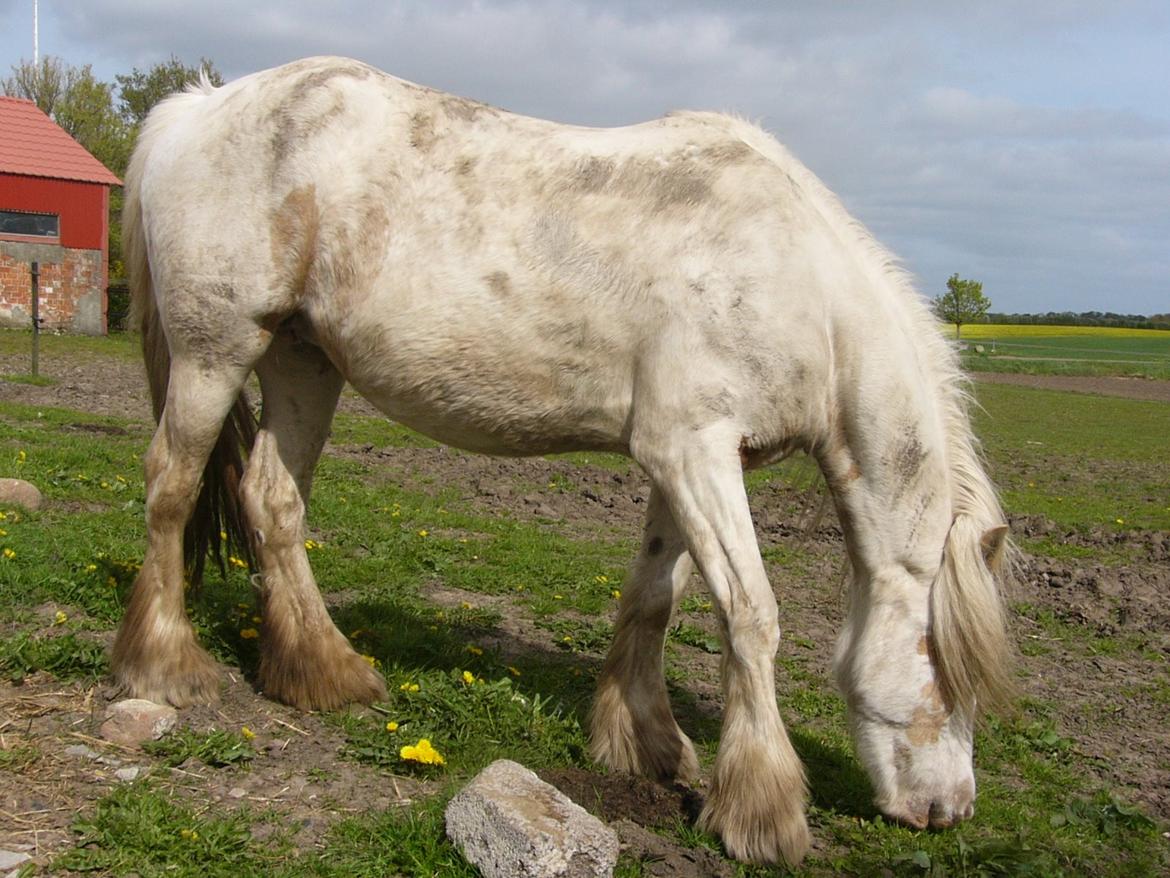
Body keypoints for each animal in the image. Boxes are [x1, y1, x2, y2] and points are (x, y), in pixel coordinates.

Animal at [118, 58, 1015, 870]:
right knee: (172, 486)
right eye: (953, 679)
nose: (948, 811)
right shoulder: (693, 451)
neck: (798, 281)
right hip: (215, 352)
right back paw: (165, 668)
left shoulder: (683, 461)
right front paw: (762, 812)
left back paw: (325, 673)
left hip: (302, 360)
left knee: (272, 500)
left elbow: (656, 597)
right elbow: (751, 615)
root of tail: (196, 109)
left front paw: (645, 744)